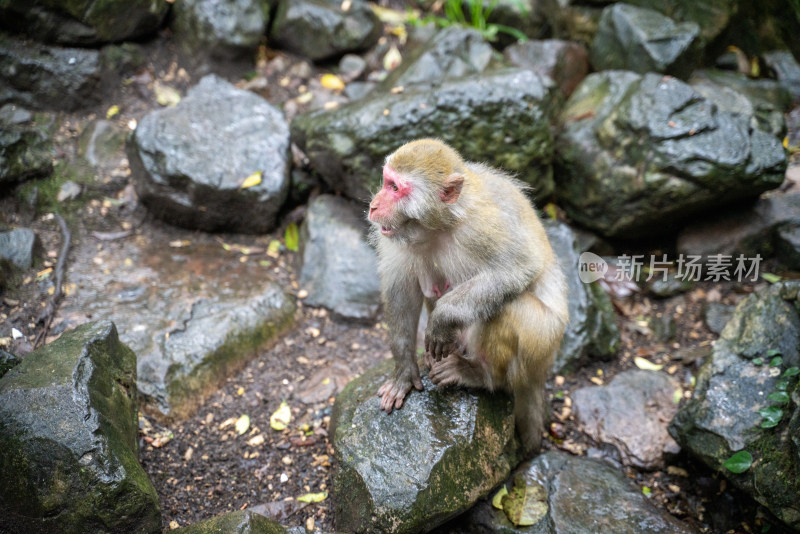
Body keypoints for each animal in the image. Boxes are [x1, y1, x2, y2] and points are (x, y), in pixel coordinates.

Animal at [368, 139, 568, 456]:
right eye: (387, 182)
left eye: (395, 188)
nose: (374, 205)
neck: (441, 224)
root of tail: (541, 372)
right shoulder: (396, 234)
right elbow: (402, 290)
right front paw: (403, 371)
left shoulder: (483, 228)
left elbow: (520, 267)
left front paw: (443, 317)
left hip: (541, 343)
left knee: (508, 306)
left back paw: (480, 375)